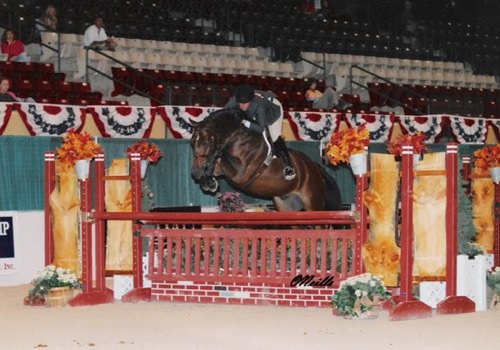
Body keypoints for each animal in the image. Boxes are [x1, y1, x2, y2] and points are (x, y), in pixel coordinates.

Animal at [190, 108, 340, 211]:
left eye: (205, 143)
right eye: (192, 142)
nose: (195, 173)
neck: (236, 137)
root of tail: (315, 167)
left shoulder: (241, 172)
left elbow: (219, 155)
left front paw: (209, 176)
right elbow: (216, 163)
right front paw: (209, 182)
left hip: (313, 202)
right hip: (287, 205)